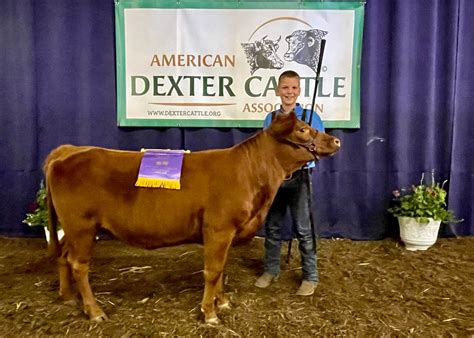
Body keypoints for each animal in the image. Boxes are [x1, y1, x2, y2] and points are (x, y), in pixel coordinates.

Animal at [44, 112, 340, 324]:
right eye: (302, 129)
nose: (336, 140)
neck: (250, 172)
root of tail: (69, 151)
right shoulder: (219, 228)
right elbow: (212, 271)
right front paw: (209, 314)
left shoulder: (226, 233)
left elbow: (221, 269)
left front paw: (222, 302)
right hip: (81, 225)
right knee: (79, 265)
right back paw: (94, 311)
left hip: (73, 229)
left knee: (64, 257)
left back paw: (68, 297)